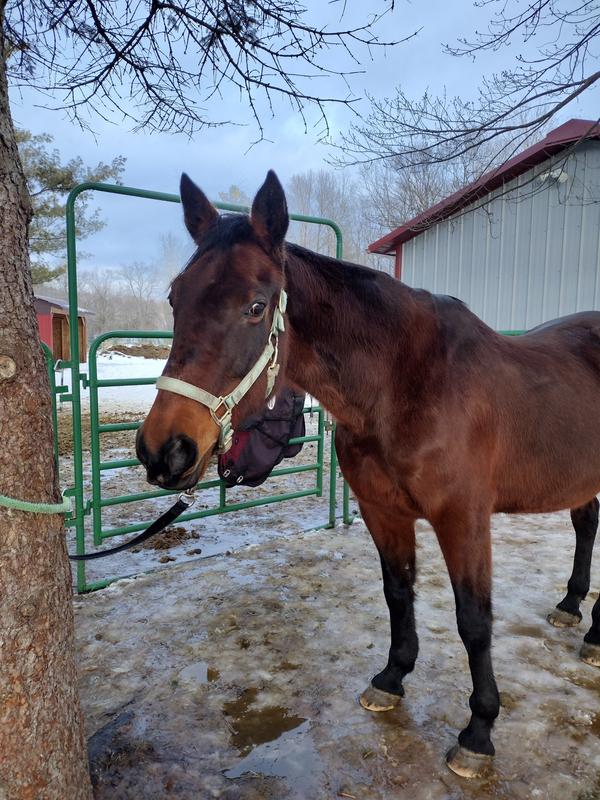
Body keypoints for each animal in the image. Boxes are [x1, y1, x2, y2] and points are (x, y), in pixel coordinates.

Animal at [136, 170, 600, 778]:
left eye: (256, 307)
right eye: (175, 298)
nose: (164, 450)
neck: (404, 384)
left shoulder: (463, 519)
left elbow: (474, 620)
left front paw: (478, 731)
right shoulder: (383, 511)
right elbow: (398, 593)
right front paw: (392, 678)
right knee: (587, 526)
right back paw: (572, 608)